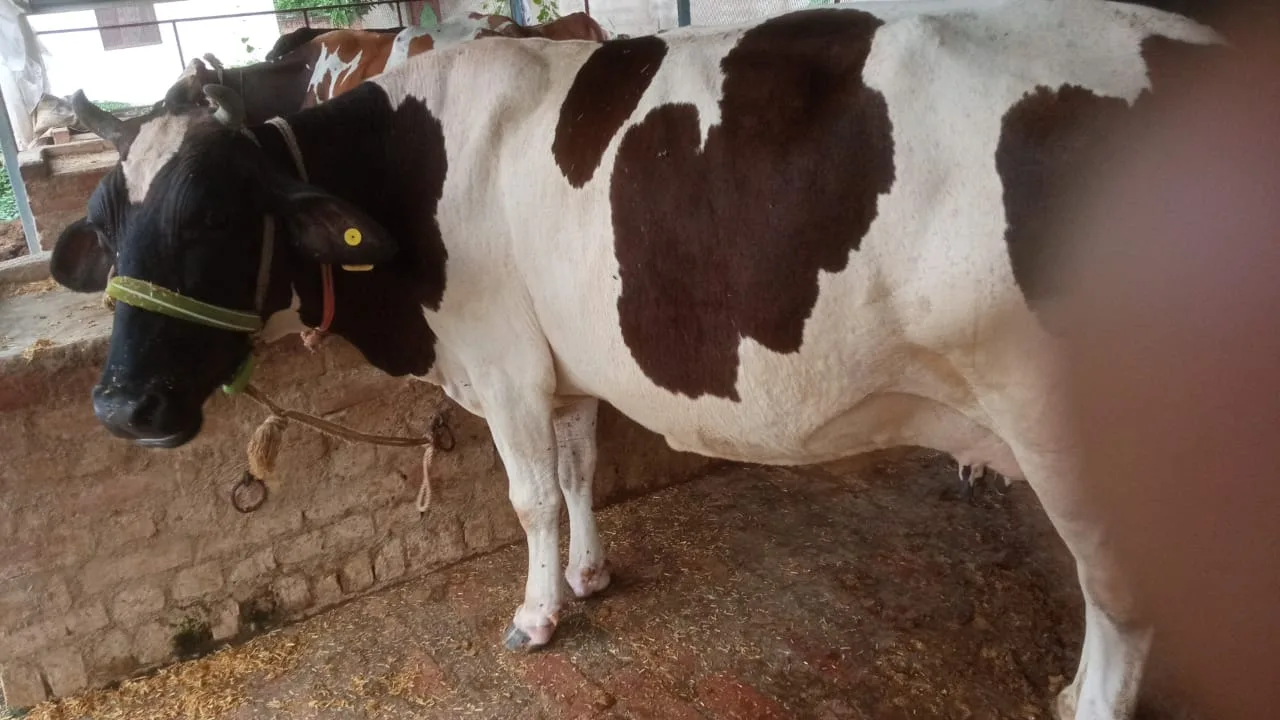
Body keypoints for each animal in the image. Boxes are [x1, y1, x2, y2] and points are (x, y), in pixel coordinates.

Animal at [46, 2, 1221, 718]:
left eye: (208, 218)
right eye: (104, 226)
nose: (120, 407)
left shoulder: (502, 365)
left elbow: (527, 498)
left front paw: (535, 615)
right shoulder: (559, 369)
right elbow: (574, 476)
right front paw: (587, 574)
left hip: (1068, 423)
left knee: (1121, 594)